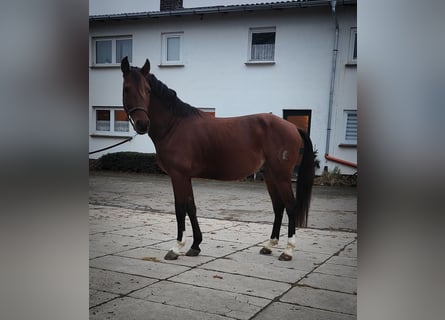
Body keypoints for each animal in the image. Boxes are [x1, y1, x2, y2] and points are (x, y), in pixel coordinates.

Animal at [119, 57, 314, 262]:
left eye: (148, 90)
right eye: (127, 89)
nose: (142, 124)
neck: (174, 125)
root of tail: (293, 127)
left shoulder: (178, 175)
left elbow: (180, 208)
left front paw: (176, 247)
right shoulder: (185, 177)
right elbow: (191, 207)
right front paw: (195, 245)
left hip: (281, 175)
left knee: (290, 207)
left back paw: (288, 251)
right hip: (270, 174)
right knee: (278, 206)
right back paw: (269, 246)